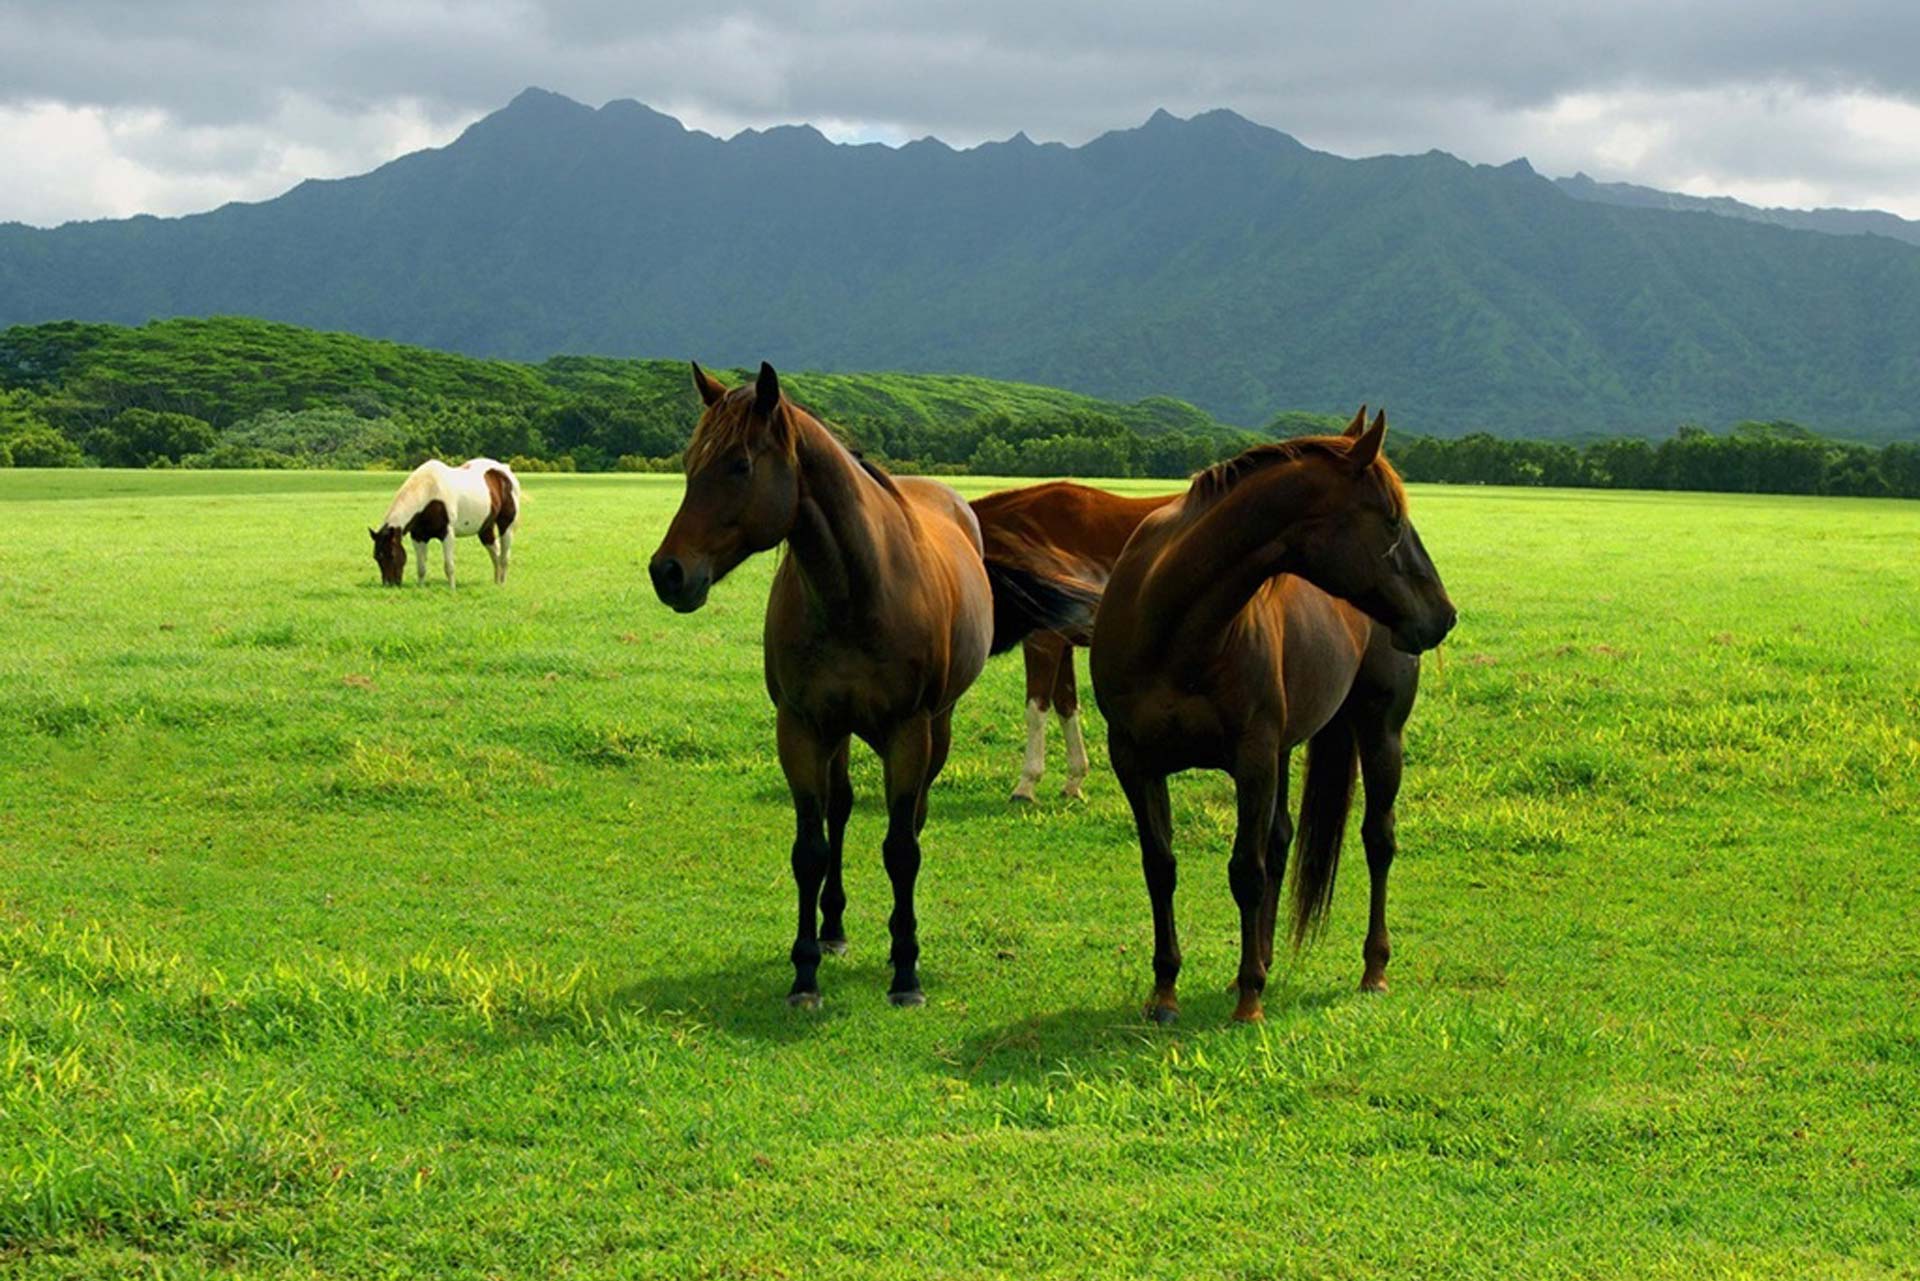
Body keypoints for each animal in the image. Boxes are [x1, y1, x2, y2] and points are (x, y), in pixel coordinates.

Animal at [370, 458, 520, 589]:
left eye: (391, 555)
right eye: (377, 557)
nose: (389, 584)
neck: (429, 492)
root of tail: (505, 471)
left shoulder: (447, 534)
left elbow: (449, 565)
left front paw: (452, 589)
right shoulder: (418, 537)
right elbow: (421, 567)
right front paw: (420, 588)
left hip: (506, 525)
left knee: (504, 557)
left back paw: (502, 584)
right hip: (485, 527)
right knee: (495, 553)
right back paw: (496, 582)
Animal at [649, 362, 1095, 1008]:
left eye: (739, 465)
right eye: (689, 462)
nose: (668, 572)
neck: (854, 593)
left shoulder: (909, 733)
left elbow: (901, 848)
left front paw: (905, 970)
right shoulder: (802, 729)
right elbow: (810, 849)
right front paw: (805, 970)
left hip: (936, 728)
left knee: (913, 819)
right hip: (838, 734)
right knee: (839, 811)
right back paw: (833, 929)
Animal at [971, 481, 1177, 802]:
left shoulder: (1043, 641)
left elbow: (1036, 709)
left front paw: (1026, 784)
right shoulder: (1063, 643)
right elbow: (1066, 706)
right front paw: (1074, 780)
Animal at [1089, 408, 1456, 1024]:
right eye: (1391, 520)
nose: (1444, 616)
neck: (1172, 626)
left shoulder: (1252, 758)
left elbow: (1246, 870)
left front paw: (1249, 1000)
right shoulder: (1135, 761)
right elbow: (1160, 866)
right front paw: (1165, 991)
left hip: (1380, 734)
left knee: (1377, 840)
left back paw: (1372, 969)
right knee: (1282, 839)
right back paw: (1261, 957)